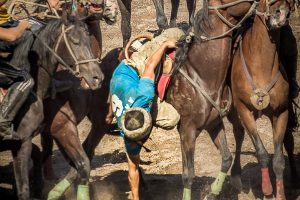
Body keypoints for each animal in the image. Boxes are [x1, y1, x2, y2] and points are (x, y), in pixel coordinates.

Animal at [229, 0, 292, 198]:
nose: (281, 13)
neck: (262, 68)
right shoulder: (244, 110)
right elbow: (262, 152)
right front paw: (267, 190)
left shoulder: (281, 113)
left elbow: (278, 160)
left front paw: (280, 195)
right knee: (239, 134)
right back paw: (235, 176)